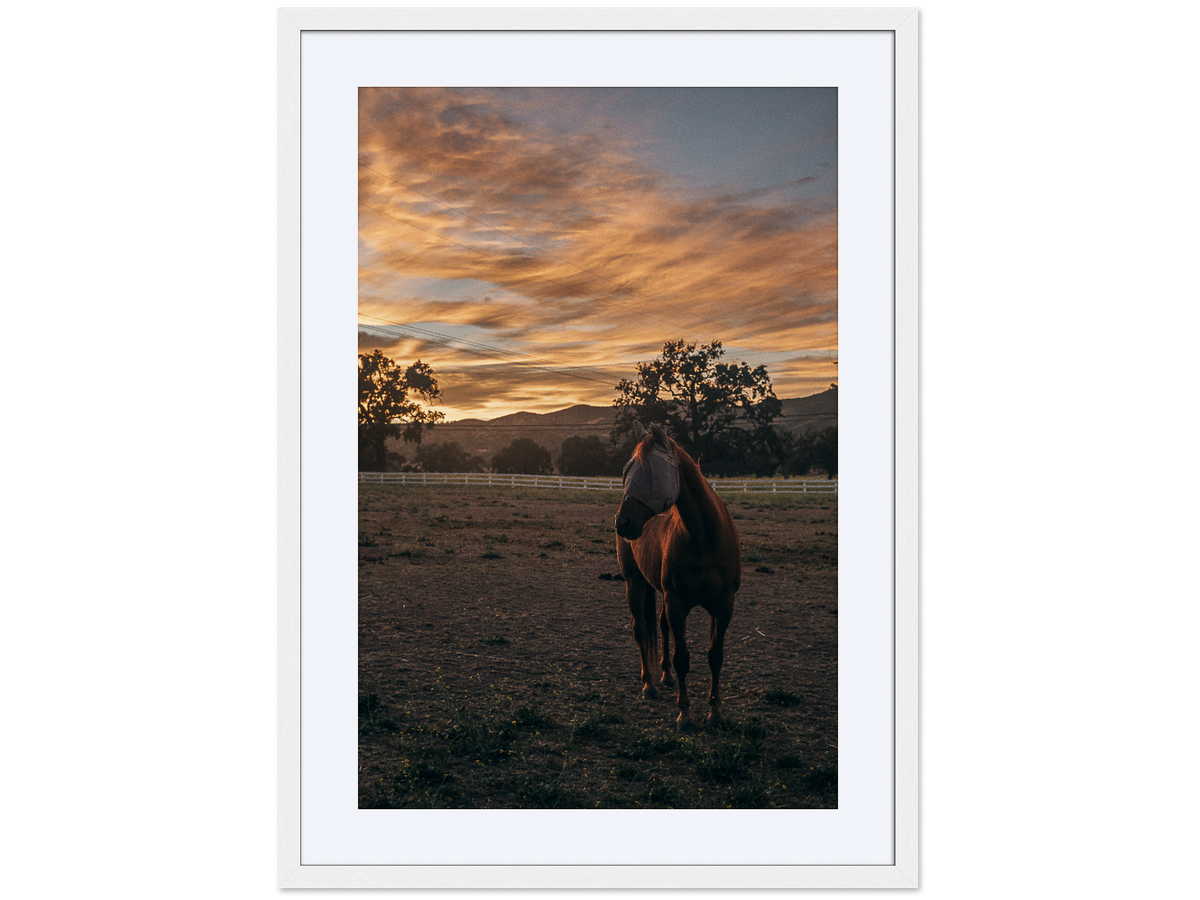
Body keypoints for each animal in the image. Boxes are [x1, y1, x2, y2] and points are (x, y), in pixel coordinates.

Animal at [614, 422, 741, 730]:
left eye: (651, 473)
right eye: (625, 471)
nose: (622, 522)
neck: (704, 537)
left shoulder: (723, 606)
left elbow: (715, 656)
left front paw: (715, 712)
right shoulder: (678, 603)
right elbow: (683, 657)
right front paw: (685, 714)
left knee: (661, 626)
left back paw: (666, 676)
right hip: (634, 583)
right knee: (640, 628)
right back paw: (649, 684)